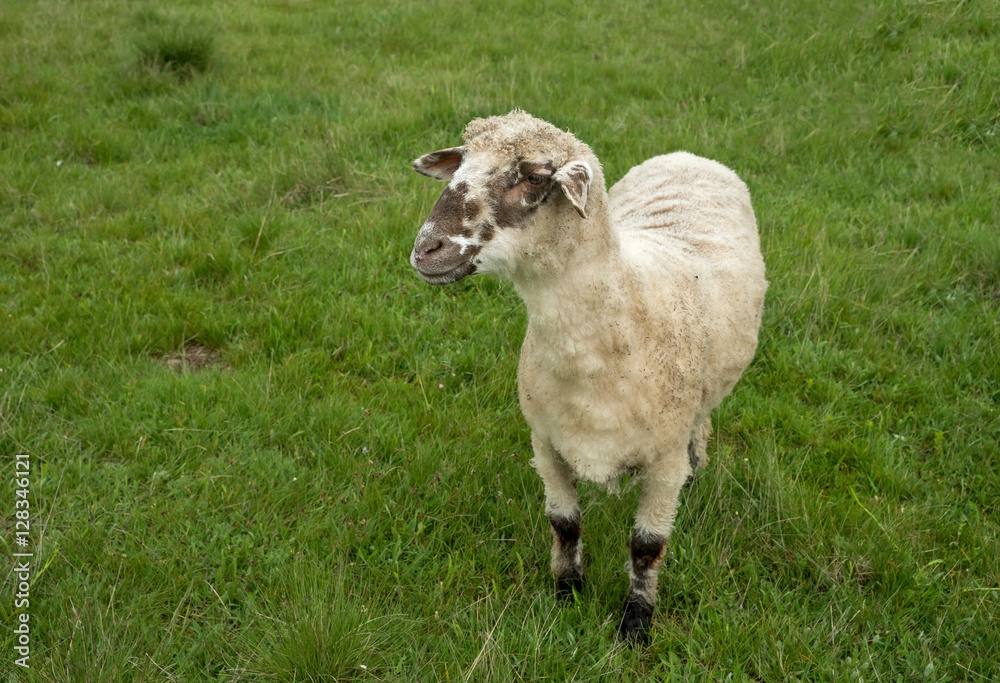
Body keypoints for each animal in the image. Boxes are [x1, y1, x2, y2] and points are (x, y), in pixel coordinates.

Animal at [409, 110, 766, 644]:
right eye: (461, 163)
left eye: (536, 177)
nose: (426, 250)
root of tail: (687, 155)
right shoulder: (546, 443)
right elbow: (565, 524)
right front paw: (566, 593)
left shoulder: (662, 460)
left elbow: (647, 546)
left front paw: (636, 623)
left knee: (702, 422)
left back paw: (697, 468)